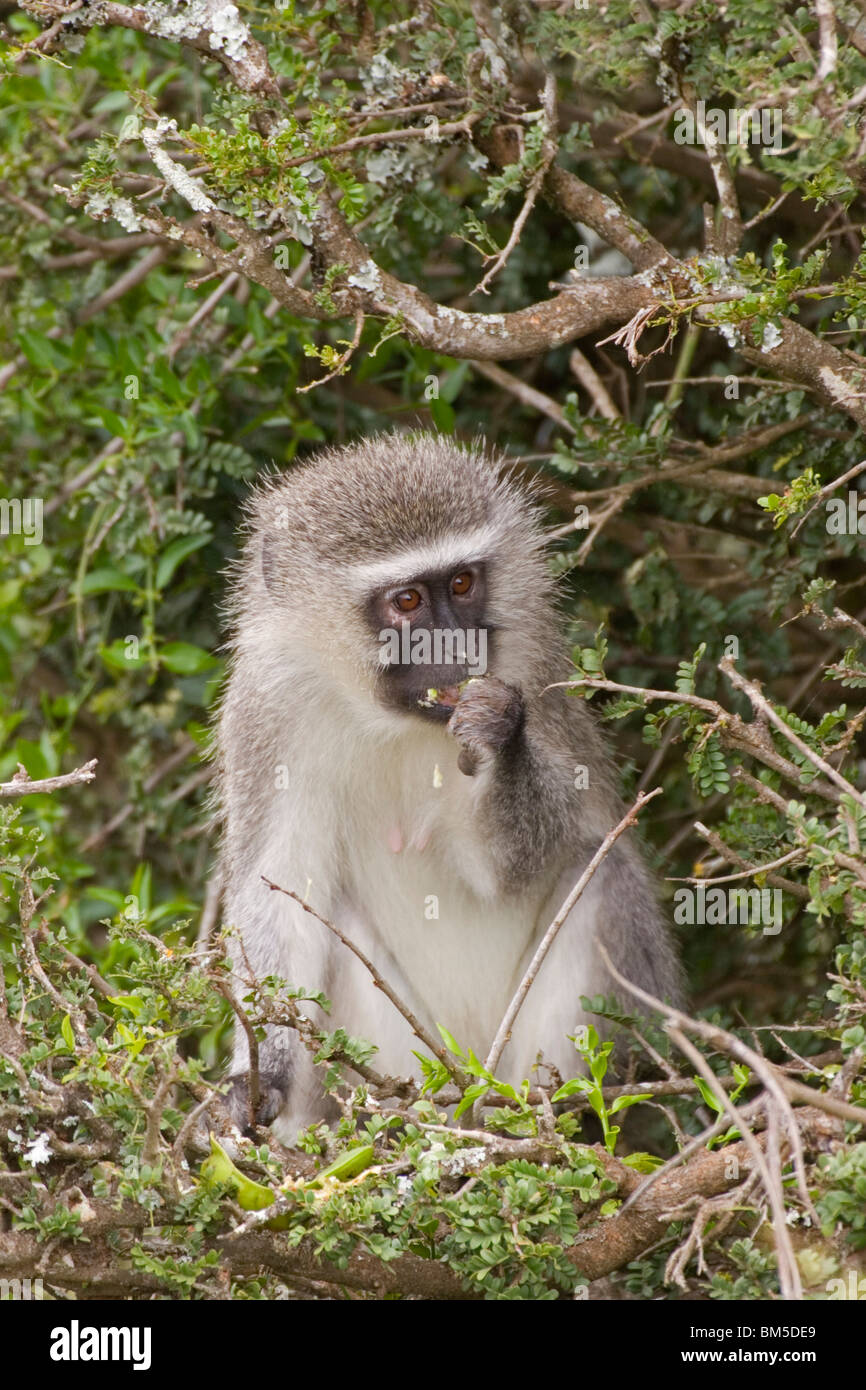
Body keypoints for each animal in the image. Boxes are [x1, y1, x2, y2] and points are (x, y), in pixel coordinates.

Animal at [214, 433, 681, 1139]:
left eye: (462, 583)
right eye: (406, 601)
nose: (458, 649)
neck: (391, 721)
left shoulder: (535, 671)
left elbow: (511, 868)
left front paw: (500, 733)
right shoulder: (266, 713)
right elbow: (280, 890)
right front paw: (260, 1077)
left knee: (602, 872)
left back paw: (544, 1120)